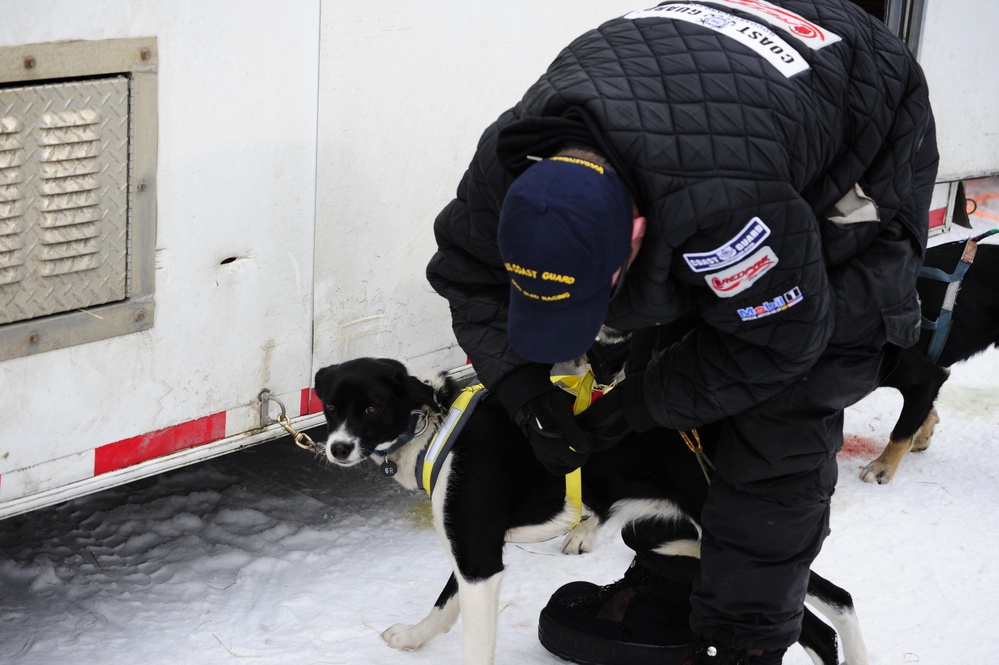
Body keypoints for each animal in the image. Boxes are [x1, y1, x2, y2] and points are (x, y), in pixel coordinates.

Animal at [312, 358, 868, 664]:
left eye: (370, 408)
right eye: (332, 407)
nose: (336, 449)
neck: (439, 428)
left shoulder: (479, 560)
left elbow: (471, 637)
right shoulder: (473, 551)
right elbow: (442, 607)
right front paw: (413, 637)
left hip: (729, 547)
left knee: (814, 623)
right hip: (681, 540)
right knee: (836, 598)